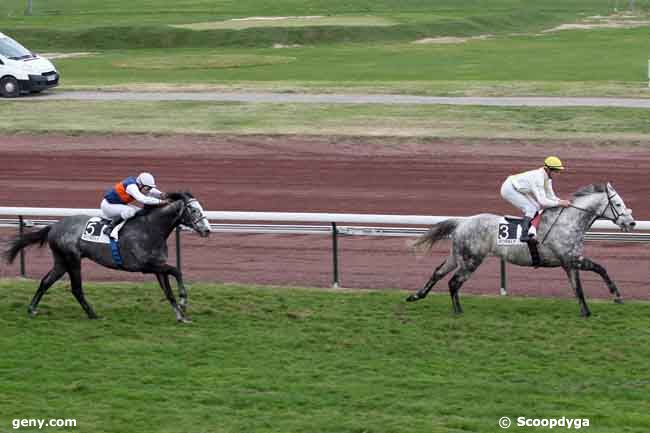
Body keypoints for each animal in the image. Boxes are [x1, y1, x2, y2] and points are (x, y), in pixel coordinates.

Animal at [3, 192, 210, 320]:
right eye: (194, 210)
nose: (207, 230)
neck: (151, 229)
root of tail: (54, 227)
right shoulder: (146, 266)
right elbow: (177, 271)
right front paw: (183, 302)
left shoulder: (158, 266)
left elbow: (168, 291)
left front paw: (180, 315)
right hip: (72, 260)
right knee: (76, 289)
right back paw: (93, 314)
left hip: (61, 261)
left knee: (46, 281)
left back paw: (32, 309)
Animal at [408, 183, 636, 318]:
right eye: (617, 204)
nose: (632, 223)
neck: (568, 222)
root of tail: (462, 222)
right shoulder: (571, 259)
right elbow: (599, 269)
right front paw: (616, 296)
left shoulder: (570, 262)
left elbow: (579, 287)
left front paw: (587, 311)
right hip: (472, 260)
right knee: (453, 282)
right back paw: (457, 311)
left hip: (458, 257)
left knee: (438, 272)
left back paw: (416, 296)